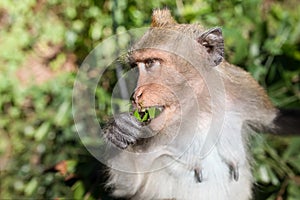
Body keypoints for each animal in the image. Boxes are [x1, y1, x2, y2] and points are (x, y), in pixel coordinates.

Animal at [102, 9, 298, 200]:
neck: (201, 108)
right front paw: (119, 130)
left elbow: (281, 120)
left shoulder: (244, 88)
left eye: (150, 63)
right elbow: (128, 184)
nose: (135, 95)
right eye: (135, 67)